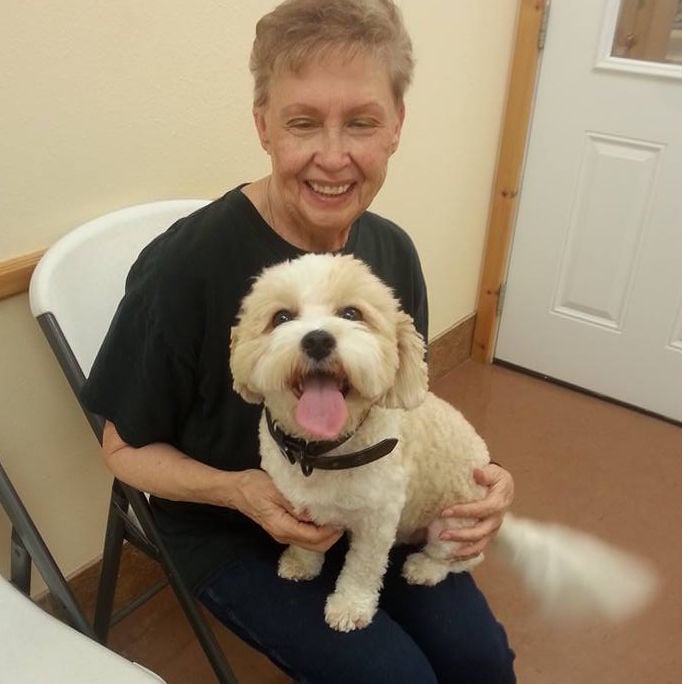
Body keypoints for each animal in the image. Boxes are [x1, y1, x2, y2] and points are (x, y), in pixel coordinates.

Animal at [230, 253, 657, 632]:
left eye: (351, 314)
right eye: (281, 317)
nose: (318, 340)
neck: (324, 451)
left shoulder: (377, 523)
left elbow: (362, 569)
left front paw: (350, 607)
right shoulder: (299, 504)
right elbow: (306, 543)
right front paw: (302, 564)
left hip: (453, 523)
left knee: (464, 559)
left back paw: (425, 568)